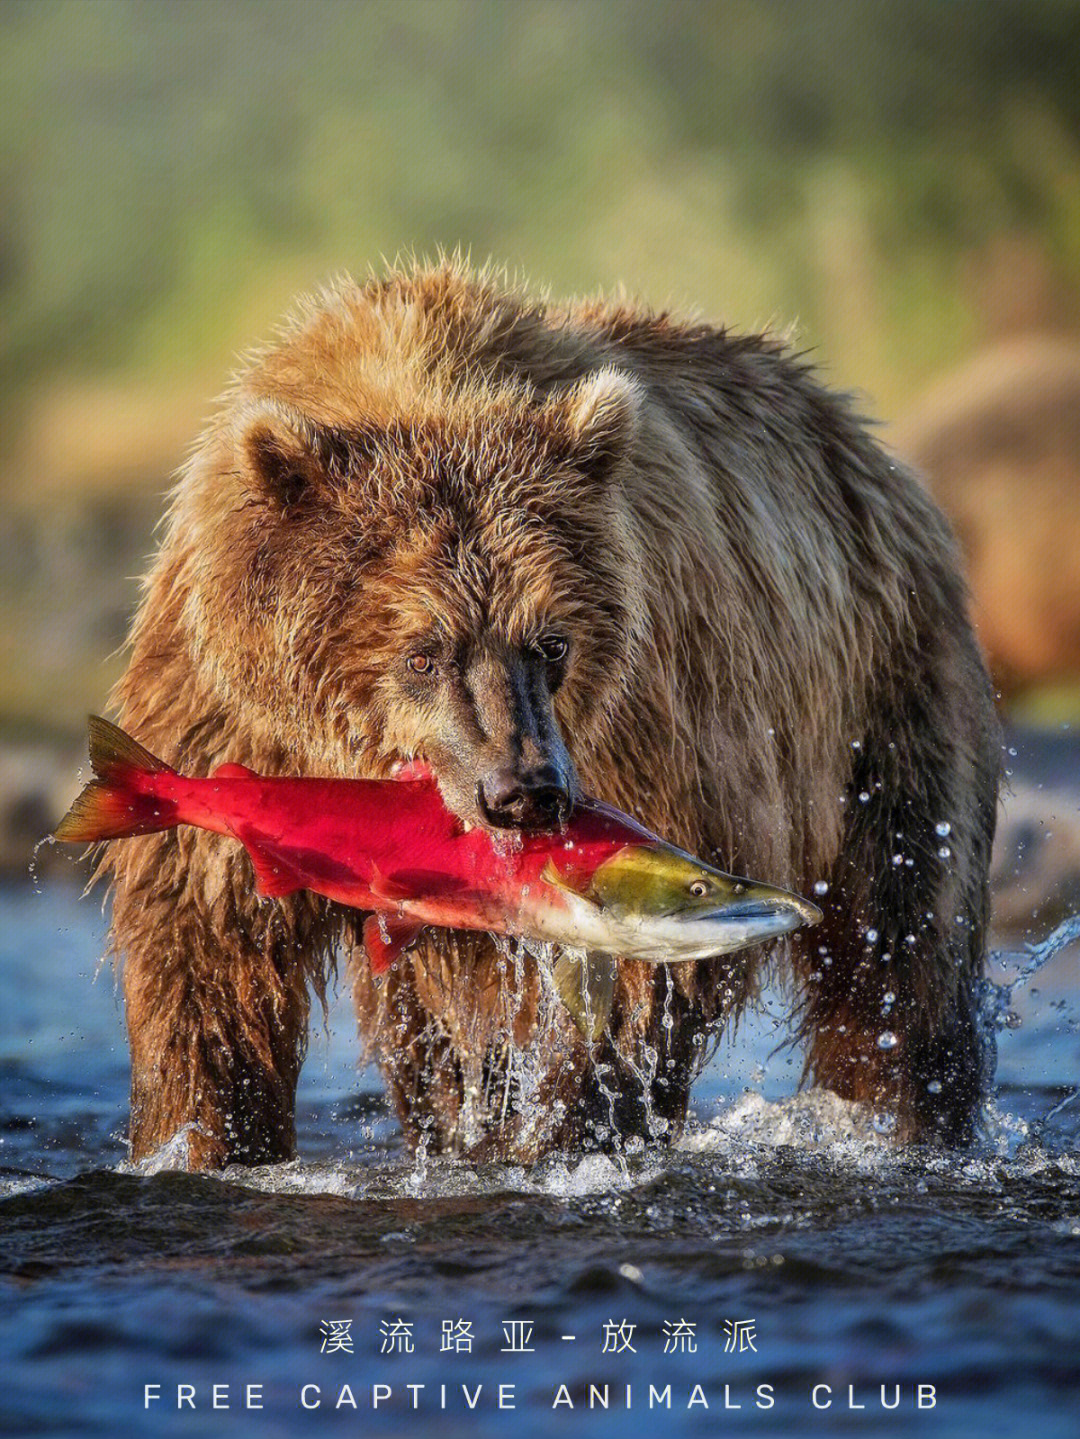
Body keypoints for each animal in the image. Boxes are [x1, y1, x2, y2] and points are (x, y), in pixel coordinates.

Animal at [99, 264, 995, 1174]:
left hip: (884, 703)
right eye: (423, 651)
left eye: (551, 640)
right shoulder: (224, 715)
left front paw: (573, 1129)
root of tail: (866, 439)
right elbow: (205, 961)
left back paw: (906, 1114)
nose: (523, 791)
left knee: (899, 948)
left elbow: (628, 988)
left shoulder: (651, 734)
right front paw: (198, 1139)